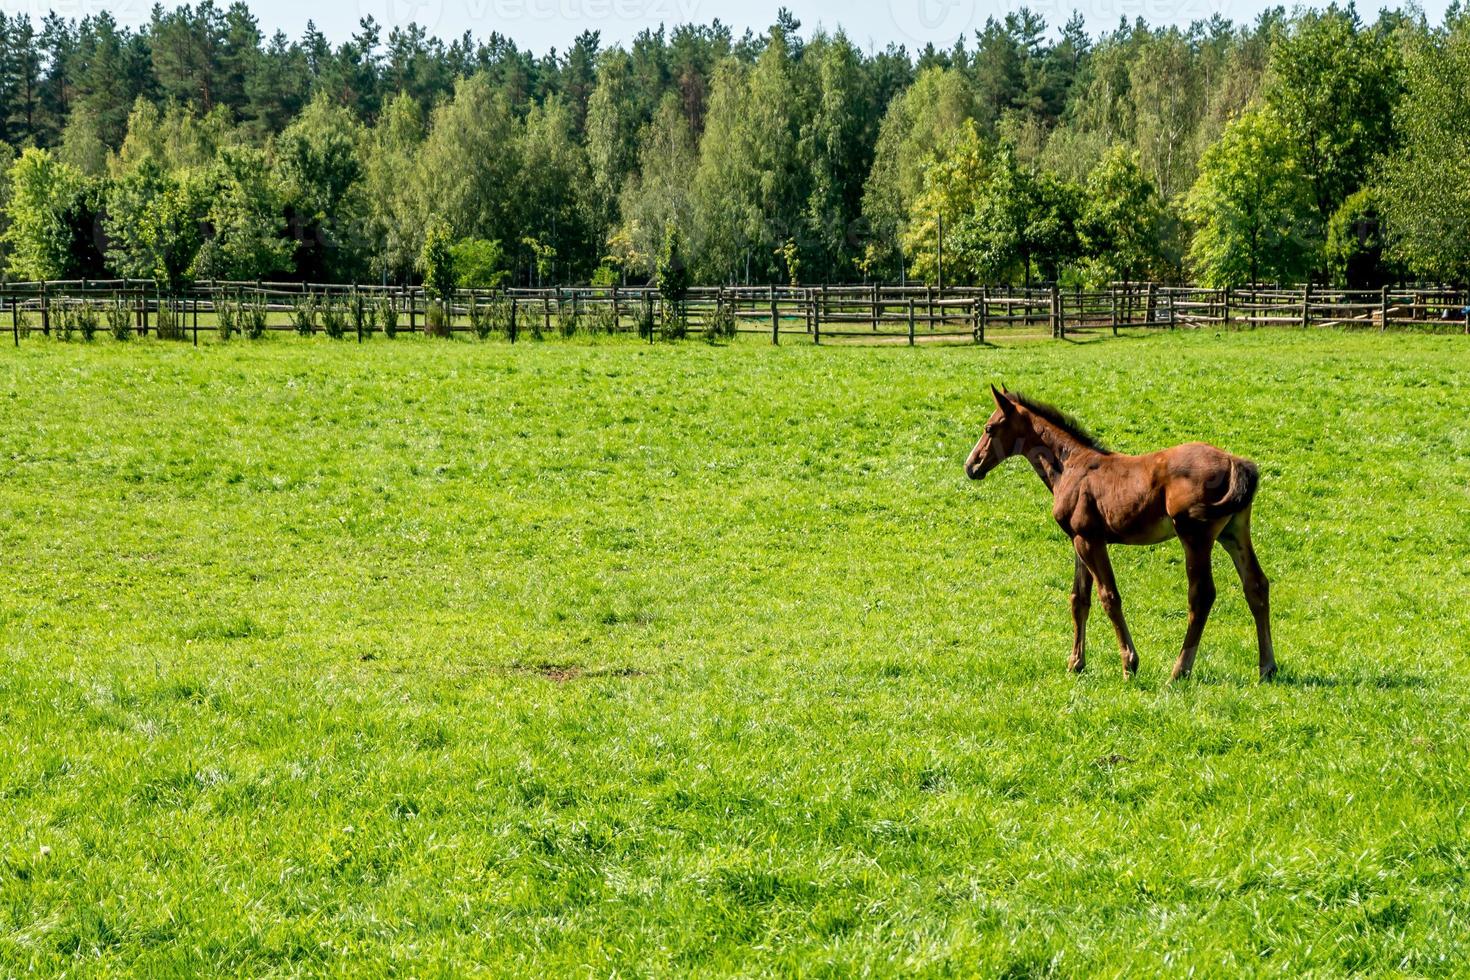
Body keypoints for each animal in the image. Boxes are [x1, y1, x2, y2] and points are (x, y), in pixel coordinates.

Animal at [964, 384, 1275, 681]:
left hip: (1195, 536)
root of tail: (1235, 462)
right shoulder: (1078, 540)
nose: (971, 466)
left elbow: (1109, 597)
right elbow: (1079, 599)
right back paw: (1267, 667)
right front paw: (1076, 663)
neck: (1070, 466)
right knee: (1256, 585)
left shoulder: (1090, 540)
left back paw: (1179, 671)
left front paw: (1129, 664)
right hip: (1234, 532)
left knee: (1202, 595)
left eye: (989, 428)